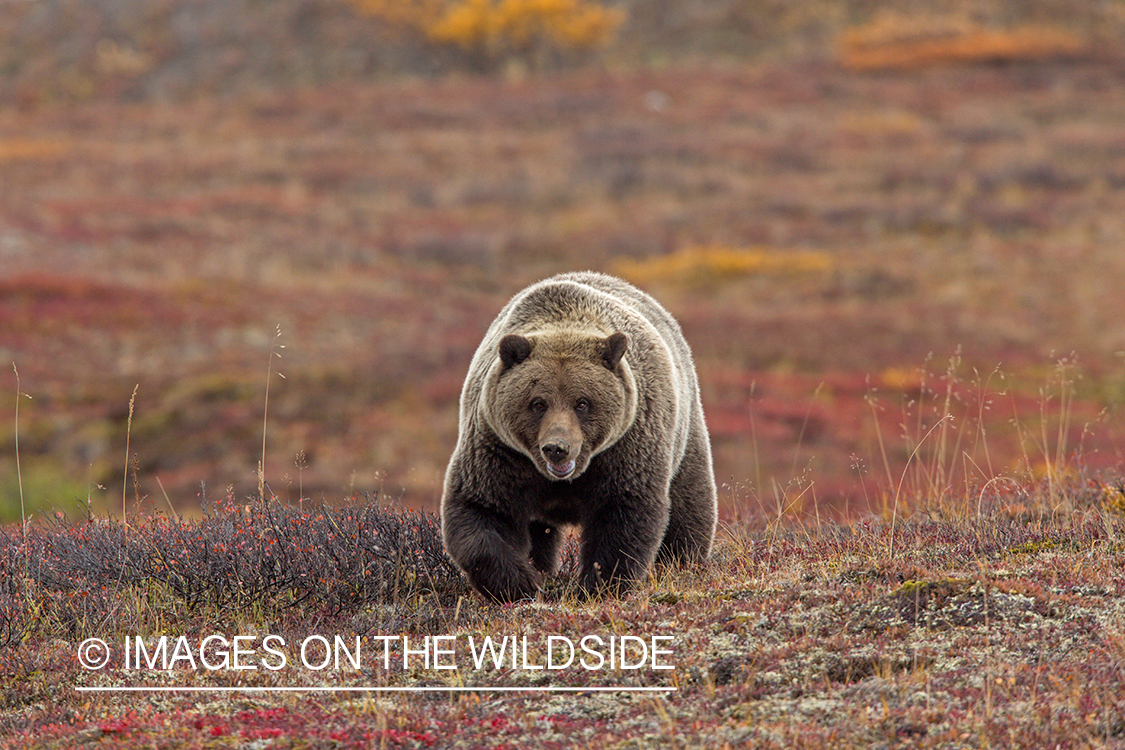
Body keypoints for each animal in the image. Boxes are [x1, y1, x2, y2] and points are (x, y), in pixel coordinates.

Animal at [441, 273, 715, 602]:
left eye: (582, 403)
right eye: (538, 402)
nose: (556, 448)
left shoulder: (625, 449)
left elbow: (622, 514)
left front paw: (599, 585)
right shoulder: (500, 451)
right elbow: (482, 510)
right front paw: (521, 584)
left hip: (684, 433)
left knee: (689, 500)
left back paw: (683, 560)